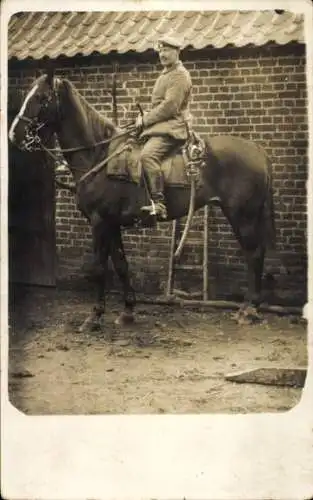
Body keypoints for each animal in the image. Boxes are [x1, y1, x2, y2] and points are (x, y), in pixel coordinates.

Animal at [8, 72, 274, 330]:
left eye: (41, 98)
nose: (14, 135)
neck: (98, 156)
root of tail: (258, 149)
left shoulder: (99, 222)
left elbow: (100, 268)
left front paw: (94, 316)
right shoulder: (112, 224)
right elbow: (121, 265)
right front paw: (127, 311)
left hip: (243, 217)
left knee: (254, 254)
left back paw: (249, 310)